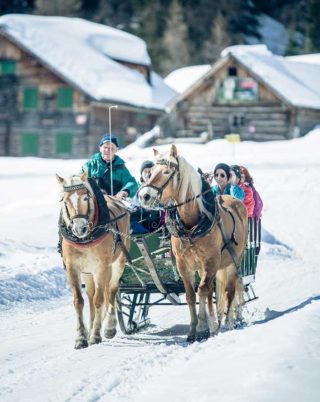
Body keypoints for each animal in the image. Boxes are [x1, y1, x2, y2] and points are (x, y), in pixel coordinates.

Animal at [56, 172, 130, 348]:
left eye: (86, 198)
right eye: (64, 200)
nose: (79, 228)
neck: (85, 240)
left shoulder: (102, 267)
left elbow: (99, 300)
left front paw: (96, 334)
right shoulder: (72, 268)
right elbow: (79, 301)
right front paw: (81, 337)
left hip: (117, 263)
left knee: (111, 291)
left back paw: (109, 327)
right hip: (88, 272)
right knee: (91, 295)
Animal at [138, 146, 248, 340]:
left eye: (167, 171)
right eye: (150, 172)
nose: (144, 196)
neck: (192, 226)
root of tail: (232, 199)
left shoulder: (210, 262)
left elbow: (202, 290)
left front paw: (204, 328)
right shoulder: (183, 264)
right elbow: (191, 295)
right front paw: (193, 330)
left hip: (233, 261)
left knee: (230, 290)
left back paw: (228, 322)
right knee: (213, 290)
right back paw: (216, 323)